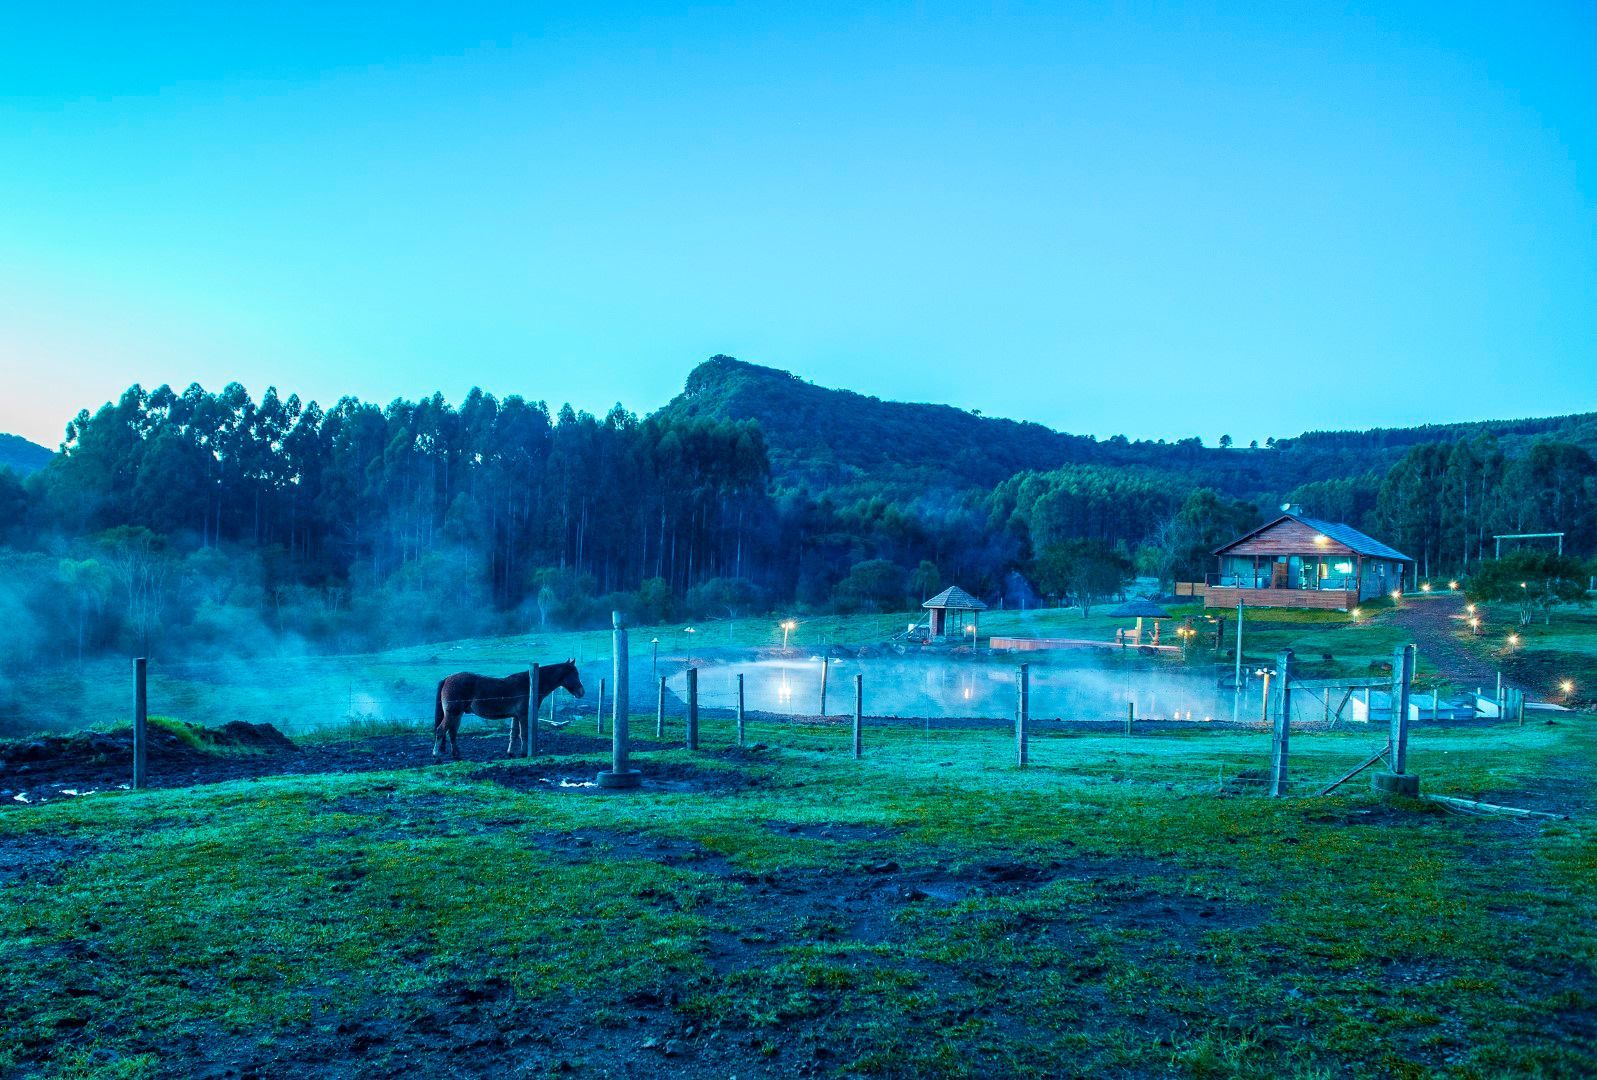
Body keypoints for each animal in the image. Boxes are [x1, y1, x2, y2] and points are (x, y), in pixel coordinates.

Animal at [433, 660, 585, 762]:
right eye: (574, 673)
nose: (581, 692)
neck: (529, 684)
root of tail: (448, 678)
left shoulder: (515, 717)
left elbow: (514, 735)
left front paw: (510, 753)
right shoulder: (523, 716)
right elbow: (524, 734)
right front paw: (524, 753)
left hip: (457, 715)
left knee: (452, 733)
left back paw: (456, 755)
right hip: (453, 714)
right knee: (441, 731)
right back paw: (436, 755)